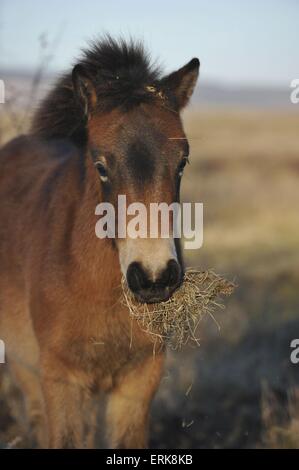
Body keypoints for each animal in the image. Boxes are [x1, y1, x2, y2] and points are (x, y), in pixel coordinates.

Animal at [0, 36, 202, 448]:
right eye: (101, 166)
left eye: (182, 162)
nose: (154, 277)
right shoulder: (60, 379)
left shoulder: (140, 379)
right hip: (23, 364)